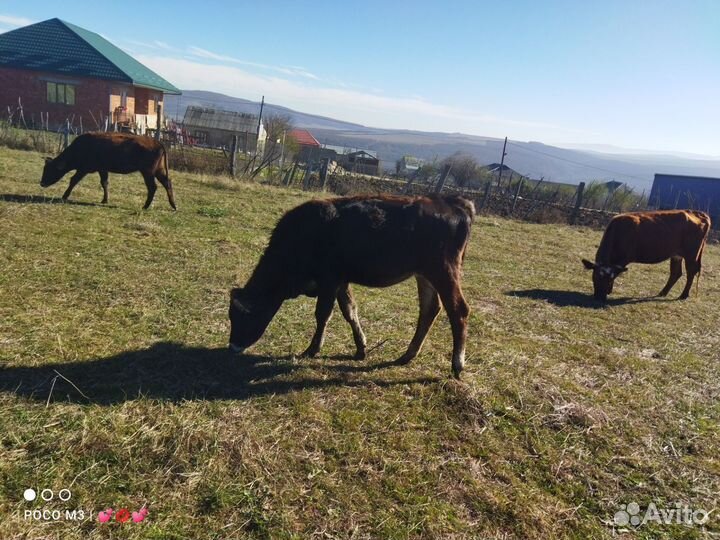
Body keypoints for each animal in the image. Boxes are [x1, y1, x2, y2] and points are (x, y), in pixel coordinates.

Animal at [40, 132, 176, 210]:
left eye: (50, 170)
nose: (41, 183)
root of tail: (157, 142)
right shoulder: (102, 169)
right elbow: (104, 183)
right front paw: (105, 200)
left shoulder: (84, 169)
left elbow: (73, 180)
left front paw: (64, 196)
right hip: (159, 171)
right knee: (167, 183)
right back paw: (173, 205)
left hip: (148, 172)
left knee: (153, 187)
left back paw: (146, 206)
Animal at [228, 194, 475, 378]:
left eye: (244, 316)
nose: (232, 347)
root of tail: (452, 203)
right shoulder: (341, 281)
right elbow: (349, 311)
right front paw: (360, 348)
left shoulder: (329, 280)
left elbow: (323, 314)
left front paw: (312, 349)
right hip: (424, 275)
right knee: (429, 310)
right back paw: (407, 355)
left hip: (444, 271)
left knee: (458, 311)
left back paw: (457, 364)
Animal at [582, 210, 711, 302]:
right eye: (596, 276)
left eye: (610, 279)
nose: (600, 298)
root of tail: (696, 212)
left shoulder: (623, 260)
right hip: (676, 255)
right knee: (676, 273)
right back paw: (662, 293)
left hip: (691, 254)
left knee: (691, 273)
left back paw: (683, 295)